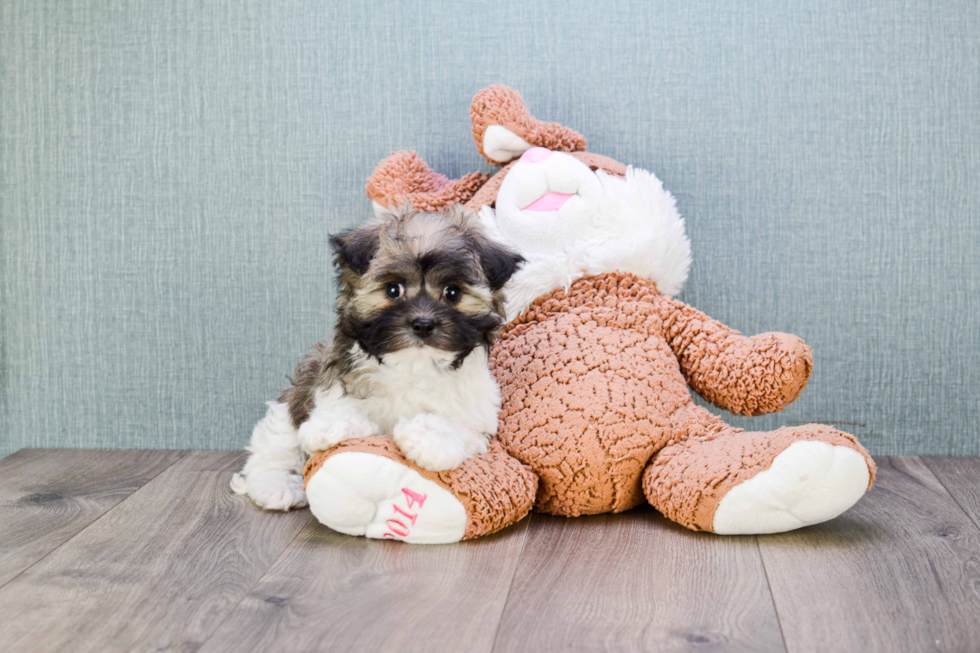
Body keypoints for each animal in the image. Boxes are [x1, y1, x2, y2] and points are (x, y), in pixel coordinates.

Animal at [231, 204, 524, 510]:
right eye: (393, 289)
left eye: (452, 292)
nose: (423, 324)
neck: (412, 366)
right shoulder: (333, 384)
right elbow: (335, 410)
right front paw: (334, 426)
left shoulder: (477, 416)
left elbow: (458, 427)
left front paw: (426, 437)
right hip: (294, 397)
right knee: (275, 443)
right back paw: (276, 485)